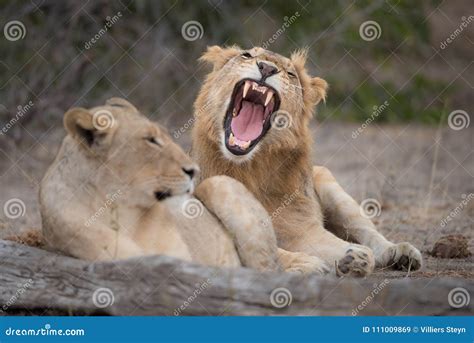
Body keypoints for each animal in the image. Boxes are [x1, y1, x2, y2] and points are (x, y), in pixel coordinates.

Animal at [192, 45, 422, 276]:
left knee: (368, 231)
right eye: (247, 55)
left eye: (290, 73)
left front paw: (356, 258)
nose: (266, 68)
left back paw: (399, 253)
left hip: (327, 181)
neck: (250, 168)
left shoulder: (301, 228)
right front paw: (308, 263)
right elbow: (266, 247)